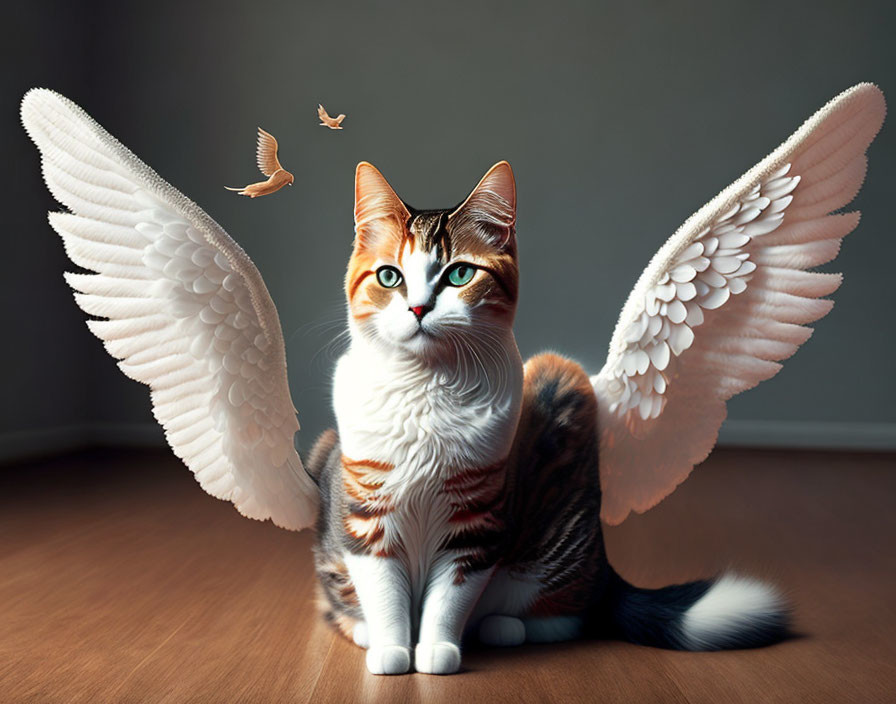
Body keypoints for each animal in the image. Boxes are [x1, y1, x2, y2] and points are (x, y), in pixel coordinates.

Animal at [308, 161, 784, 676]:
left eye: (459, 274)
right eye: (389, 277)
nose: (418, 308)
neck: (425, 391)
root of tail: (606, 568)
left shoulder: (478, 520)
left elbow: (449, 596)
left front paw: (437, 650)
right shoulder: (365, 512)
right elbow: (384, 593)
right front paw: (393, 649)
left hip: (561, 385)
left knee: (568, 613)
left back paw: (503, 628)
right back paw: (363, 630)